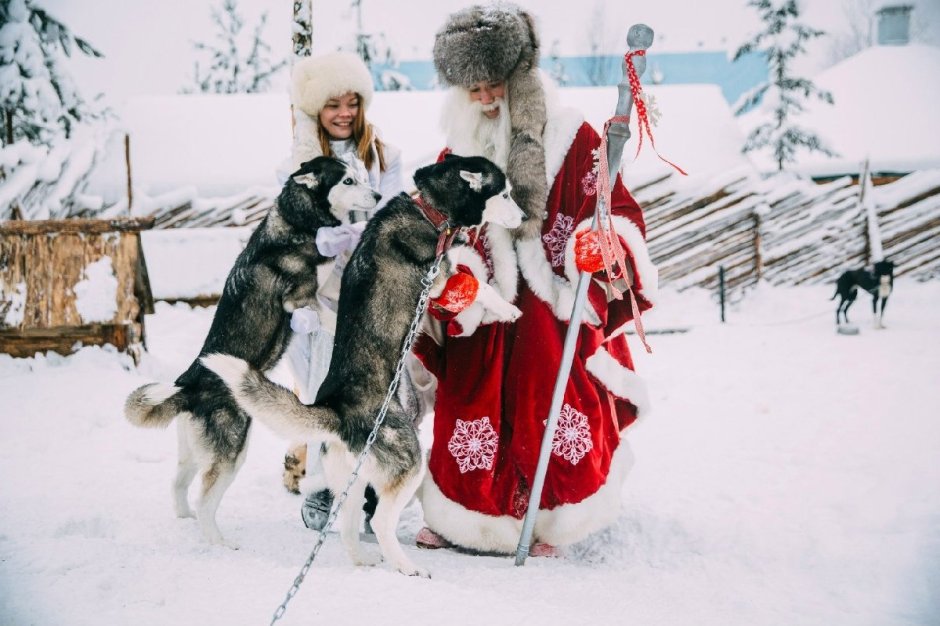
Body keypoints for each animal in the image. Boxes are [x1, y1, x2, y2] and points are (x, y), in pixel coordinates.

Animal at [123, 157, 380, 544]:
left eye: (361, 176)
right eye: (348, 180)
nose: (378, 195)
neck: (299, 222)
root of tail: (188, 386)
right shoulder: (302, 301)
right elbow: (335, 317)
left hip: (193, 453)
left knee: (178, 485)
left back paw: (185, 519)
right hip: (232, 452)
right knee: (205, 502)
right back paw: (219, 543)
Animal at [203, 154, 524, 572]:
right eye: (504, 193)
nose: (523, 217)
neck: (429, 211)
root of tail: (337, 410)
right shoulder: (439, 279)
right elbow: (478, 286)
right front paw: (507, 308)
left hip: (351, 482)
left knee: (345, 525)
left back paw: (362, 560)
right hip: (408, 462)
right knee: (384, 522)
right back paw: (406, 566)